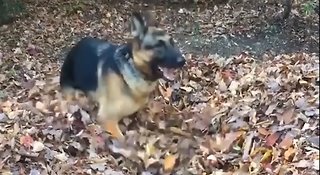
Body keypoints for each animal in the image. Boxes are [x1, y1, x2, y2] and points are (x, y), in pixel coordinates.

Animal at [59, 11, 185, 139]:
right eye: (159, 45)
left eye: (172, 42)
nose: (183, 61)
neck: (133, 67)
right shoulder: (108, 119)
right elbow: (122, 140)